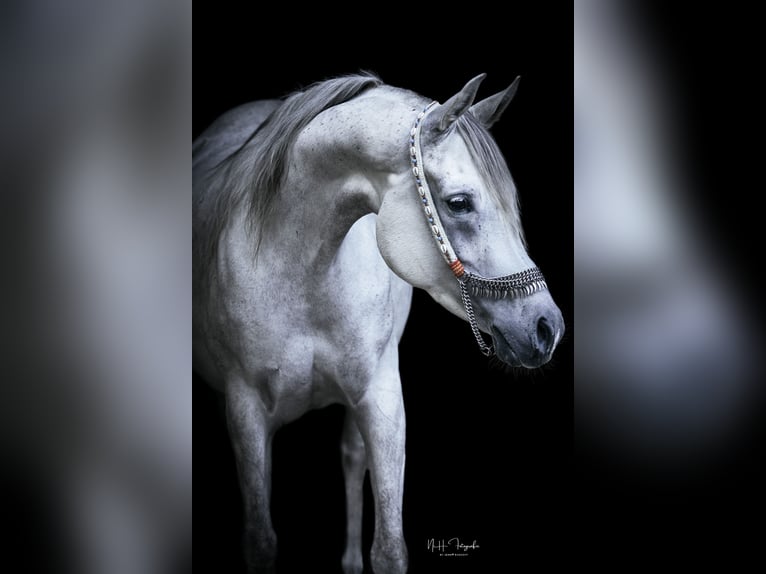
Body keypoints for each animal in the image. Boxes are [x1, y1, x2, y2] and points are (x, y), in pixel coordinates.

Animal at [193, 73, 564, 573]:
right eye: (459, 203)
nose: (547, 327)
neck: (302, 268)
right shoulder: (244, 405)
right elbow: (260, 540)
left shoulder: (382, 397)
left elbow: (388, 546)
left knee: (352, 459)